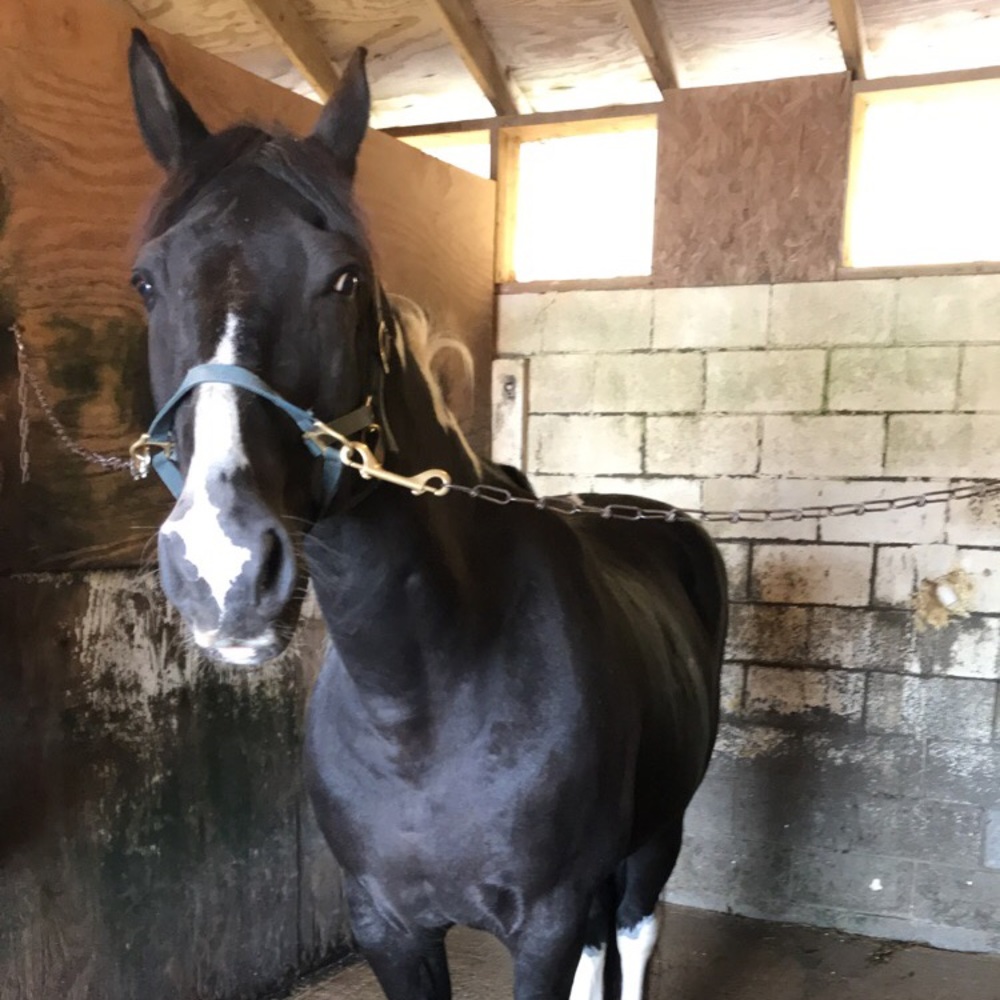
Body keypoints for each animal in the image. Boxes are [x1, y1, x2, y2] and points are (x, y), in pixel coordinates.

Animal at [126, 30, 728, 1000]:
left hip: (655, 833)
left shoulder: (544, 923)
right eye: (147, 282)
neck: (422, 703)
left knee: (634, 932)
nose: (223, 568)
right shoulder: (387, 925)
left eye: (345, 278)